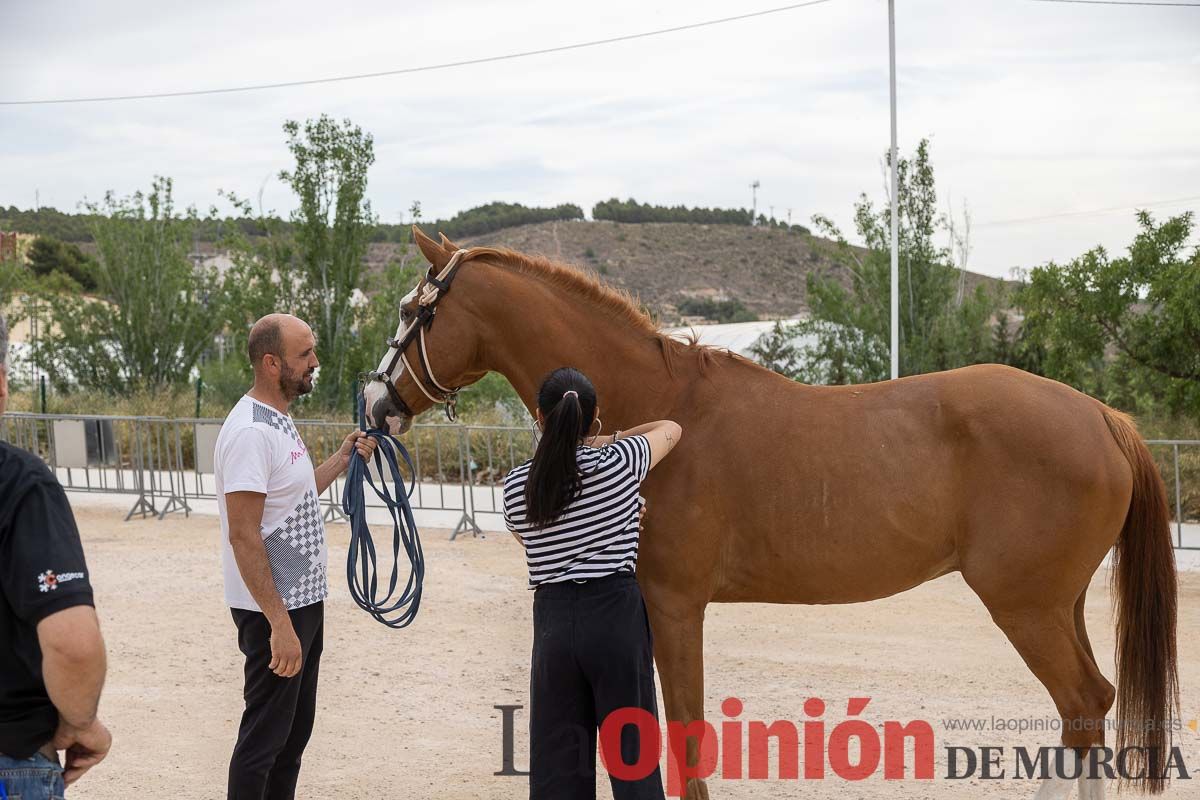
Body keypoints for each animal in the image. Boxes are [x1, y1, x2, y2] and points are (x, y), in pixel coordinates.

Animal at [362, 227, 1171, 796]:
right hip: (1060, 604)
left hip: (1025, 606)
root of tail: (1103, 416)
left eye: (410, 312)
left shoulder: (676, 604)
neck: (662, 401)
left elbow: (686, 733)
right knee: (1090, 708)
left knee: (1080, 705)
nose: (374, 405)